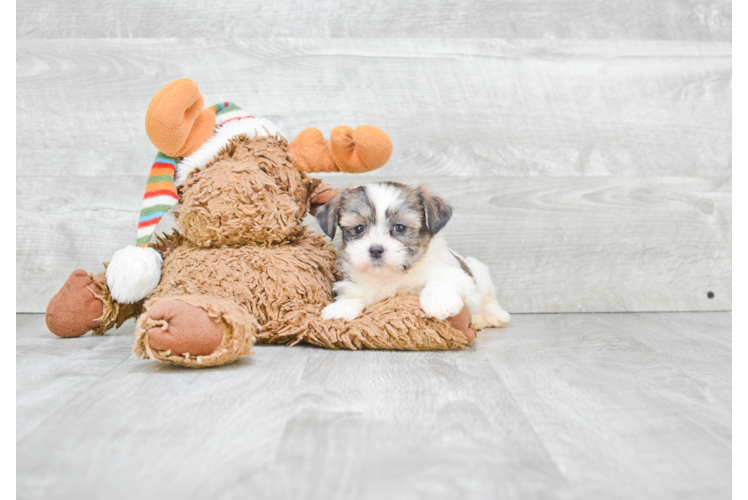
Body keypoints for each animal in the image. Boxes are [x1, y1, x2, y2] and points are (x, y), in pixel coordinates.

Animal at [312, 180, 512, 328]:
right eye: (359, 228)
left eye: (400, 228)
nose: (375, 249)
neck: (393, 276)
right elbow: (357, 294)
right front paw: (342, 307)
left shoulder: (462, 279)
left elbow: (440, 280)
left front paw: (440, 301)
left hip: (482, 277)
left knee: (489, 300)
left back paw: (495, 315)